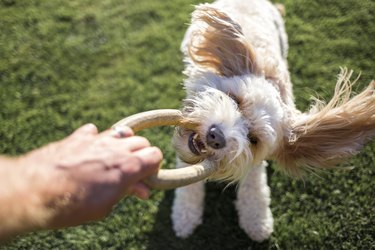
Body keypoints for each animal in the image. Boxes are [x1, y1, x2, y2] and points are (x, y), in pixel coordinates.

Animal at [171, 0, 375, 242]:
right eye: (235, 100)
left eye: (253, 139)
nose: (215, 136)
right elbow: (187, 185)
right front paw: (185, 217)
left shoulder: (255, 164)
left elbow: (255, 190)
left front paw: (258, 221)